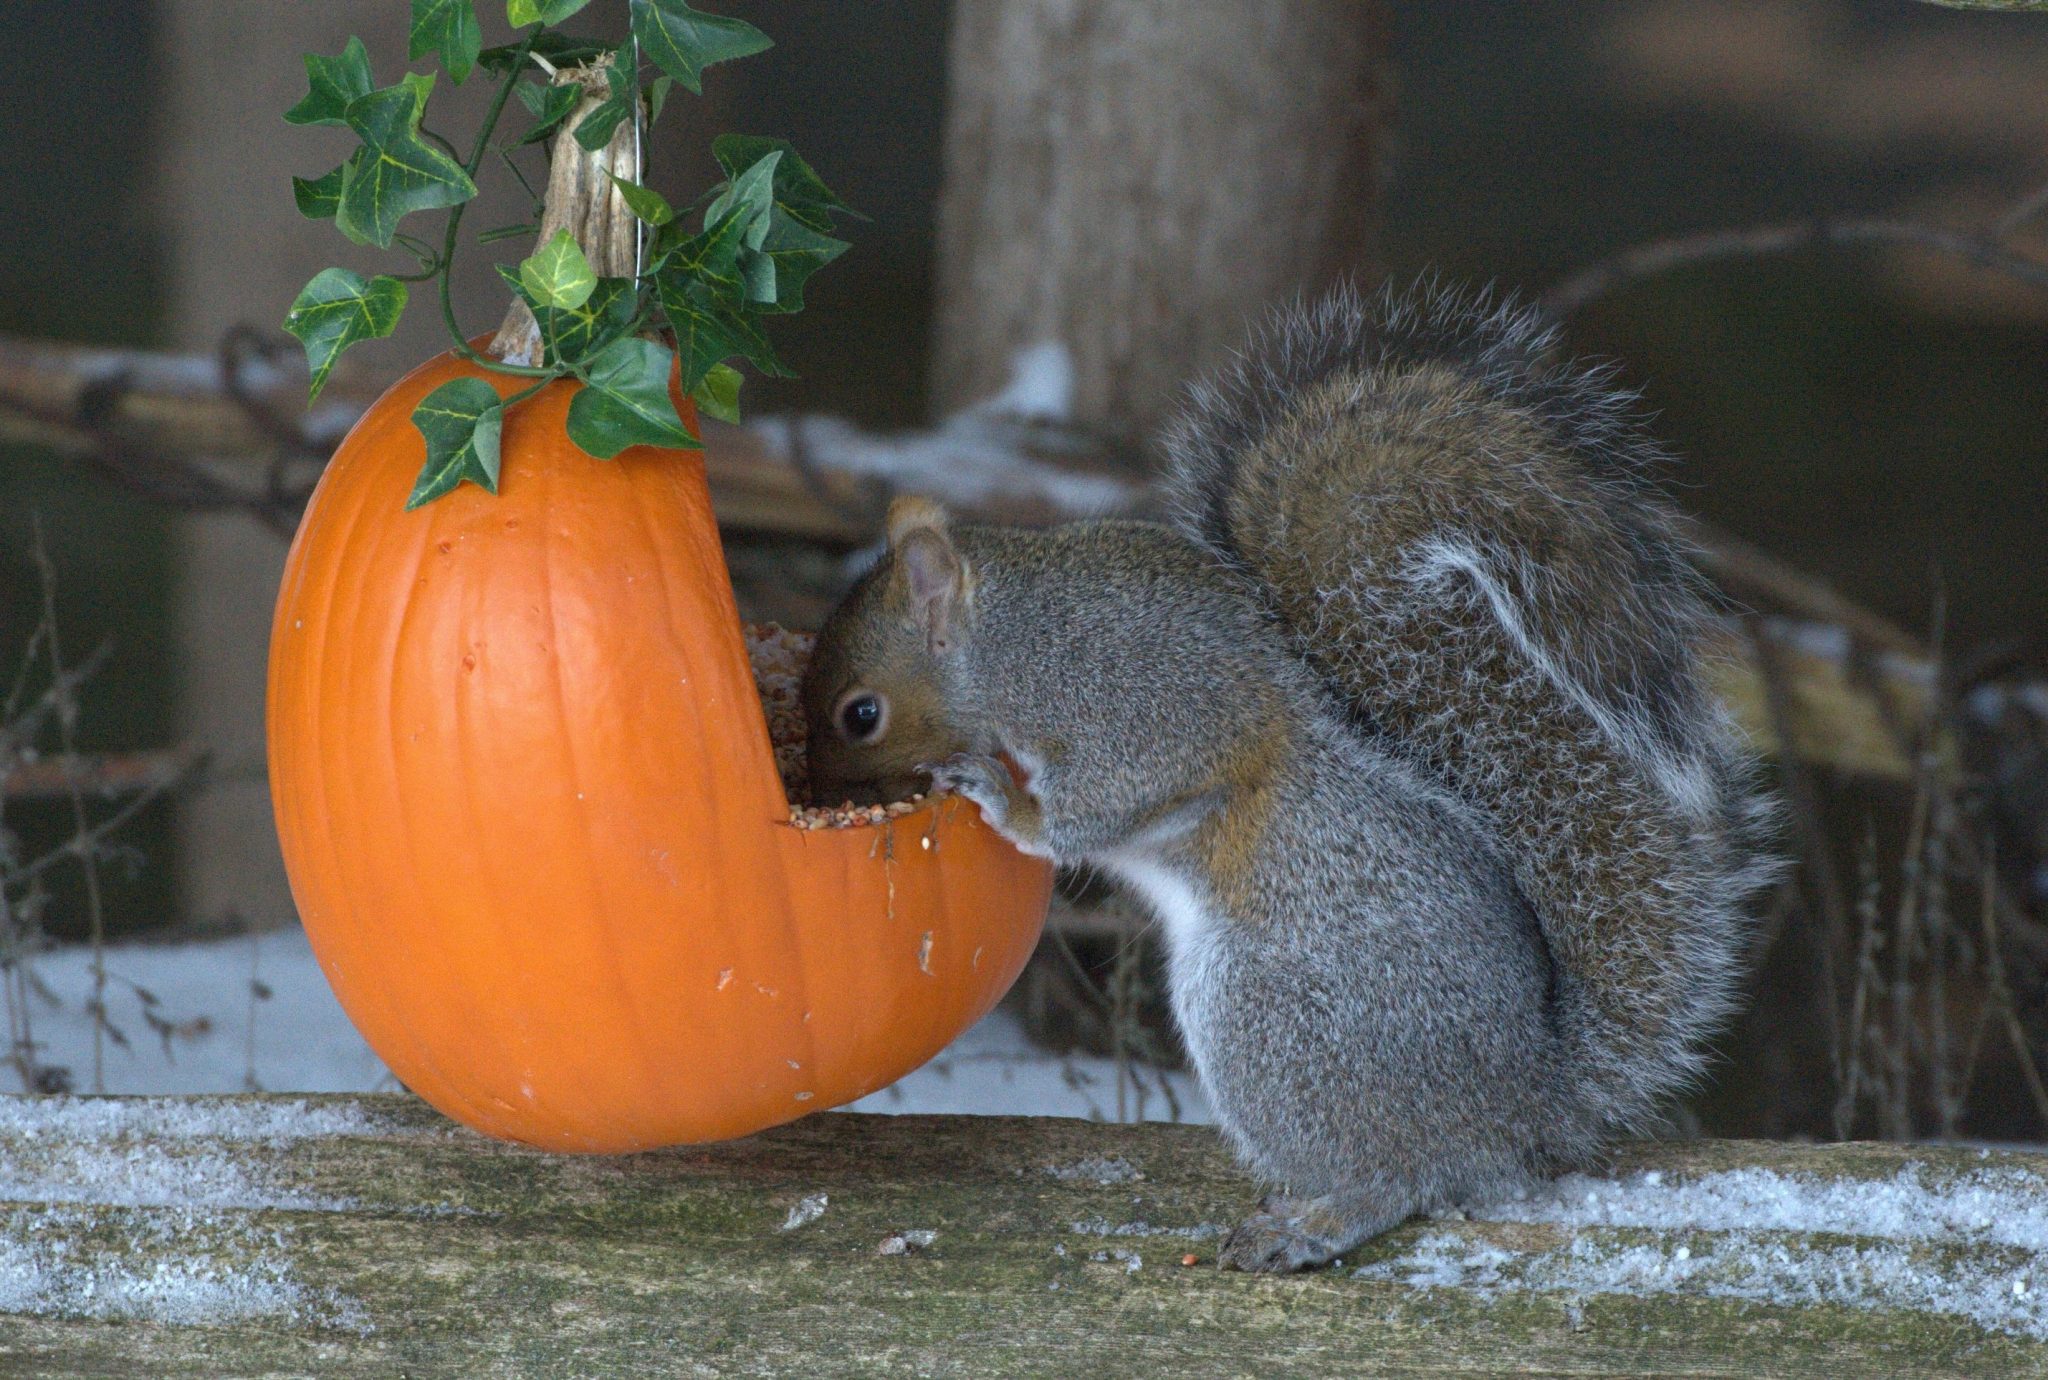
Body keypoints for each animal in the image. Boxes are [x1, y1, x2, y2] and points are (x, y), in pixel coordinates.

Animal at [799, 281, 1778, 1272]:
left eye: (860, 714)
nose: (825, 793)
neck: (1009, 644)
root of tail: (1527, 1110)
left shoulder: (1141, 710)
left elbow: (1099, 804)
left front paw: (1003, 802)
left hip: (1265, 1017)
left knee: (1401, 1177)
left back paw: (1317, 1222)